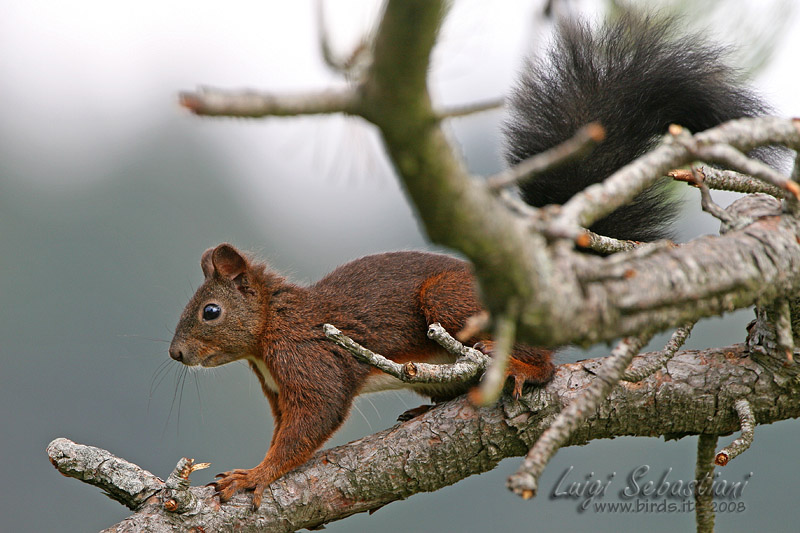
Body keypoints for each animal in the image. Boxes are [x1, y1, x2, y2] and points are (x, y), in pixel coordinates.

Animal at [169, 15, 770, 509]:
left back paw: (520, 370)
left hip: (447, 301)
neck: (272, 325)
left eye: (210, 312)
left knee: (545, 363)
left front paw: (251, 477)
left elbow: (309, 423)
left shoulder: (311, 359)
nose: (175, 354)